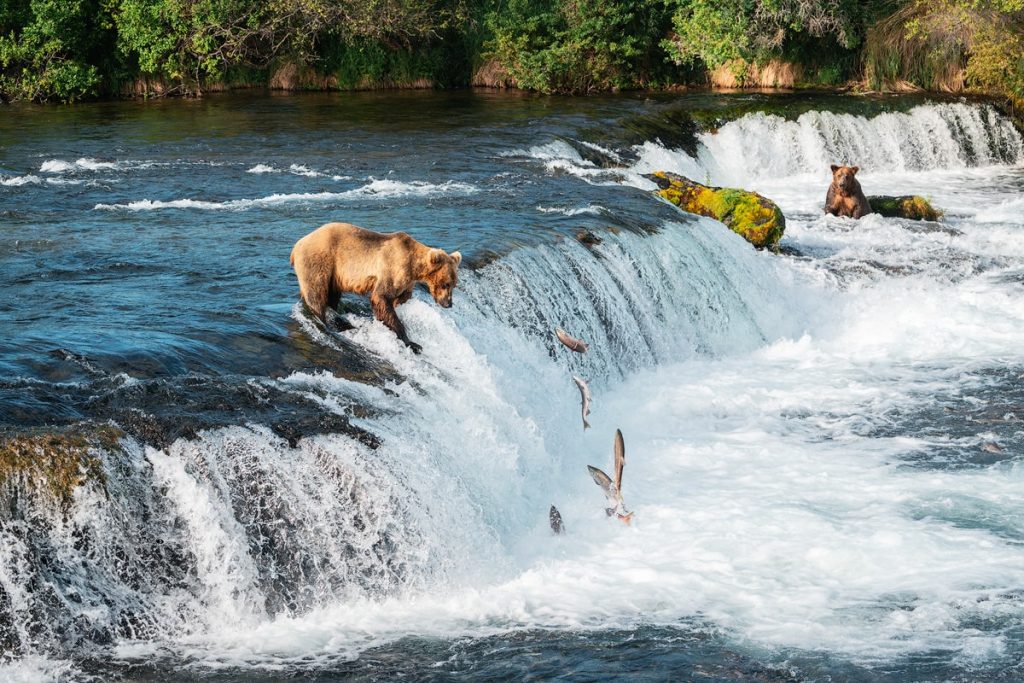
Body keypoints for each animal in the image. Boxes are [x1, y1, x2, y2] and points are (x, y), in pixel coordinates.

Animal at [290, 222, 462, 356]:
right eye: (446, 283)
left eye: (454, 284)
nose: (448, 304)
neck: (414, 267)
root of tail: (297, 245)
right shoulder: (393, 268)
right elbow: (381, 297)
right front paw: (412, 342)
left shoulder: (407, 282)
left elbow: (400, 299)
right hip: (319, 260)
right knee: (316, 294)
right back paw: (322, 321)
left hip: (334, 274)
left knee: (332, 296)